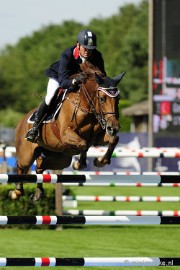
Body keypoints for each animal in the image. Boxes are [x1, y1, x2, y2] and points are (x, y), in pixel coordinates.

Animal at [8, 61, 125, 200]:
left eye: (118, 99)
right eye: (102, 99)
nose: (113, 128)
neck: (86, 107)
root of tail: (20, 122)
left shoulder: (97, 137)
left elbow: (113, 139)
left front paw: (101, 161)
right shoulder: (65, 135)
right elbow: (83, 143)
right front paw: (79, 164)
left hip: (59, 158)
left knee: (40, 165)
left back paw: (38, 193)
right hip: (26, 155)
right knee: (21, 166)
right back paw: (16, 192)